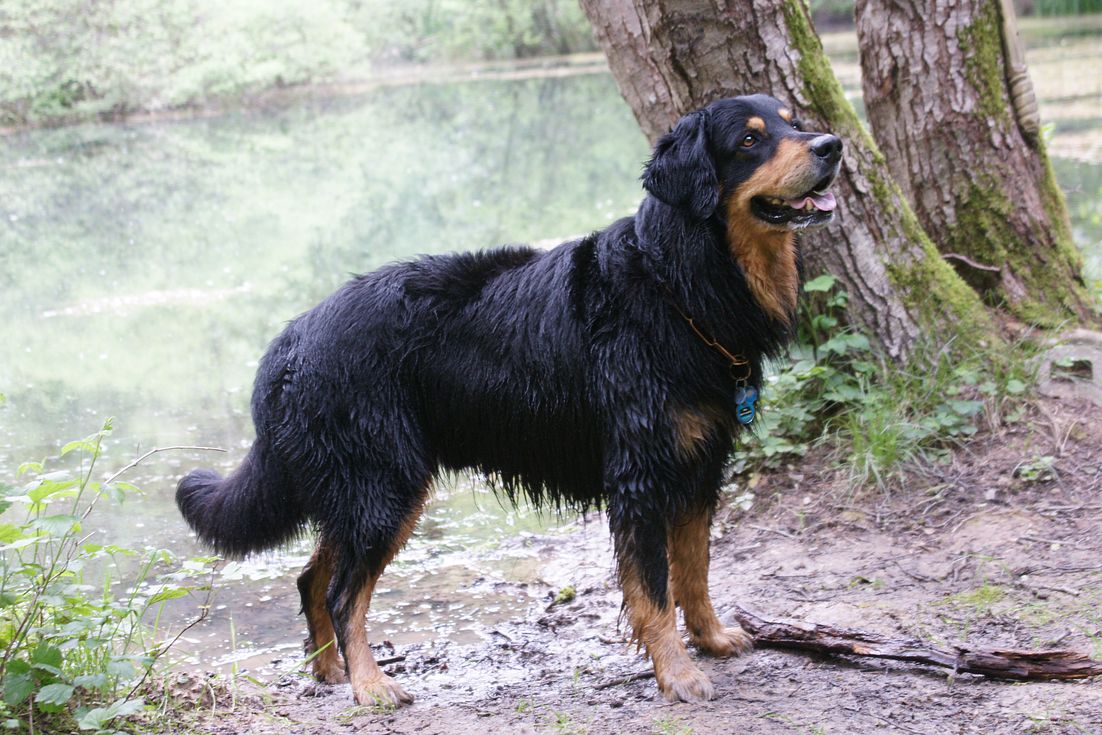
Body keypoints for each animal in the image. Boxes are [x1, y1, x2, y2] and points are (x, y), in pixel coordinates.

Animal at [177, 93, 842, 706]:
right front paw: (676, 673)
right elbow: (654, 591)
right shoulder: (641, 478)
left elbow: (696, 571)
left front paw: (710, 638)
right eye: (750, 140)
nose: (831, 145)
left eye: (790, 119)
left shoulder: (698, 468)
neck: (677, 285)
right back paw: (369, 684)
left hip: (360, 488)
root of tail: (290, 340)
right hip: (386, 486)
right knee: (344, 594)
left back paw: (331, 673)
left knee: (311, 578)